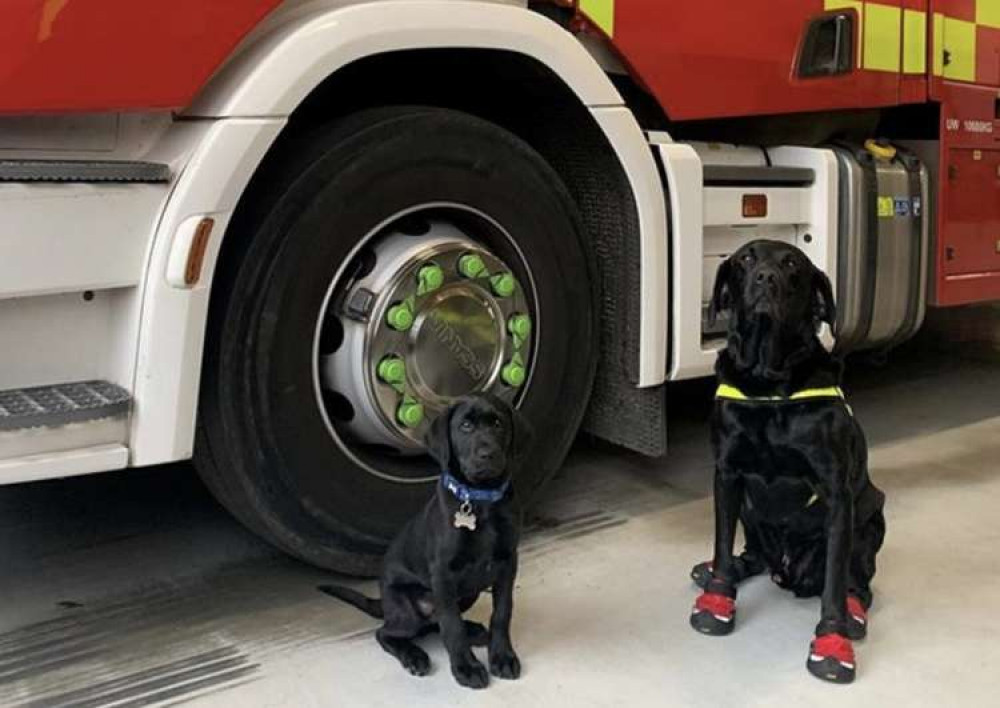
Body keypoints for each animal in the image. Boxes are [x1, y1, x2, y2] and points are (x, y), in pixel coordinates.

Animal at [320, 396, 528, 688]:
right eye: (465, 426)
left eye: (498, 423)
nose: (487, 454)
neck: (480, 499)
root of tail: (383, 602)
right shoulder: (443, 573)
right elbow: (451, 625)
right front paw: (466, 668)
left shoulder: (508, 563)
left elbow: (502, 612)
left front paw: (503, 657)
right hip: (407, 610)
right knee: (388, 633)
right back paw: (414, 656)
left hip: (470, 592)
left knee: (435, 623)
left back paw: (473, 630)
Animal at [692, 241, 888, 684]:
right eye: (746, 259)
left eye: (793, 263)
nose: (766, 278)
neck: (768, 382)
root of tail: (786, 571)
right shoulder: (726, 474)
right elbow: (722, 542)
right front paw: (718, 595)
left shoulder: (836, 494)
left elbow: (834, 582)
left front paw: (832, 640)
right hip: (750, 515)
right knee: (750, 553)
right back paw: (727, 567)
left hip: (871, 519)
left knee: (858, 581)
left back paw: (854, 614)